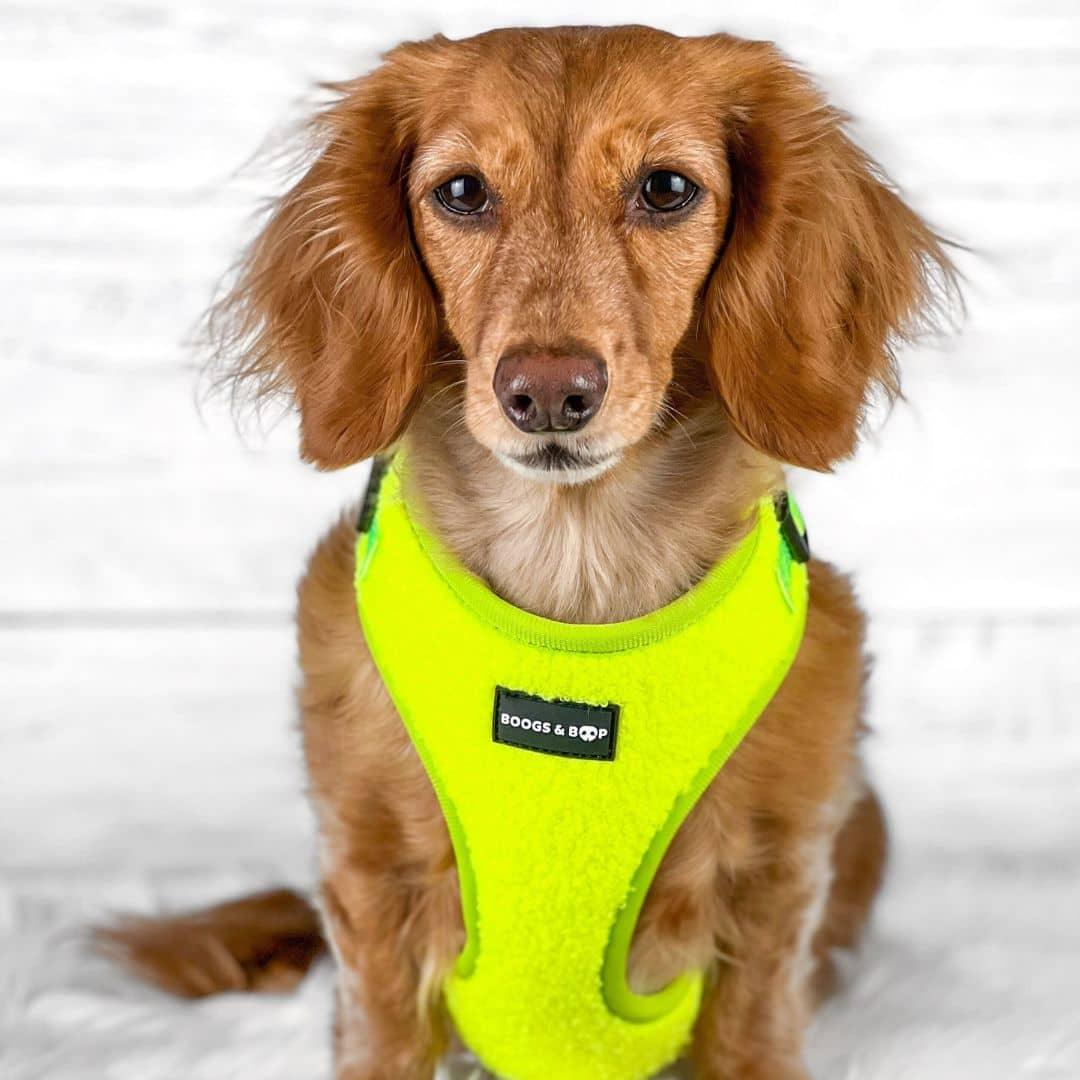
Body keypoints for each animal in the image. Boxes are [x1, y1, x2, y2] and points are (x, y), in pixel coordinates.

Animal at [101, 25, 959, 1080]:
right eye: (463, 192)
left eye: (666, 188)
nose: (548, 392)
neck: (575, 572)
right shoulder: (368, 874)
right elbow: (378, 1032)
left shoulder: (774, 880)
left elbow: (755, 1030)